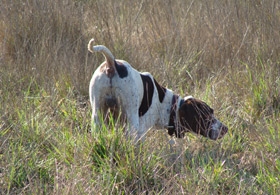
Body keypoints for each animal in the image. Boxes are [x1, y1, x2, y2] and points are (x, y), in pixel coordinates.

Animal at [87, 38, 228, 142]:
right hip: (132, 119)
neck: (164, 103)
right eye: (205, 114)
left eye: (212, 111)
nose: (225, 129)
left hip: (97, 116)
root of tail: (112, 64)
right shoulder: (140, 131)